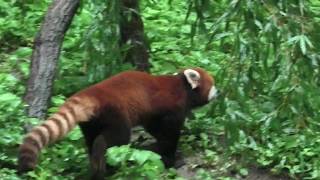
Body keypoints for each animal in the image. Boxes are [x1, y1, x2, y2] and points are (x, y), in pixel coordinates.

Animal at [16, 67, 218, 179]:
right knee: (113, 140)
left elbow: (155, 128)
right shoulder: (170, 108)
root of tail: (90, 94)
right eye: (213, 84)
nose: (219, 91)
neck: (182, 87)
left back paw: (95, 167)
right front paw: (171, 158)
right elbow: (169, 135)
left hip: (91, 122)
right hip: (115, 114)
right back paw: (104, 165)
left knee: (91, 140)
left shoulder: (151, 113)